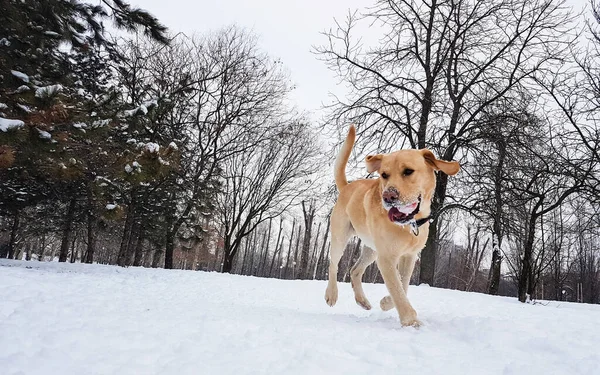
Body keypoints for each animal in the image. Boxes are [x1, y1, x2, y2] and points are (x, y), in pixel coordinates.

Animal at [324, 125, 460, 328]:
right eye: (384, 175)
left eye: (408, 171)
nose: (388, 196)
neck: (408, 225)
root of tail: (347, 187)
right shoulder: (386, 258)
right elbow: (397, 288)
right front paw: (412, 322)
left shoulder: (409, 256)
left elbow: (403, 284)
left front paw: (387, 302)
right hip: (340, 237)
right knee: (333, 264)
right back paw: (331, 294)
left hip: (372, 249)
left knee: (355, 270)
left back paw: (362, 301)